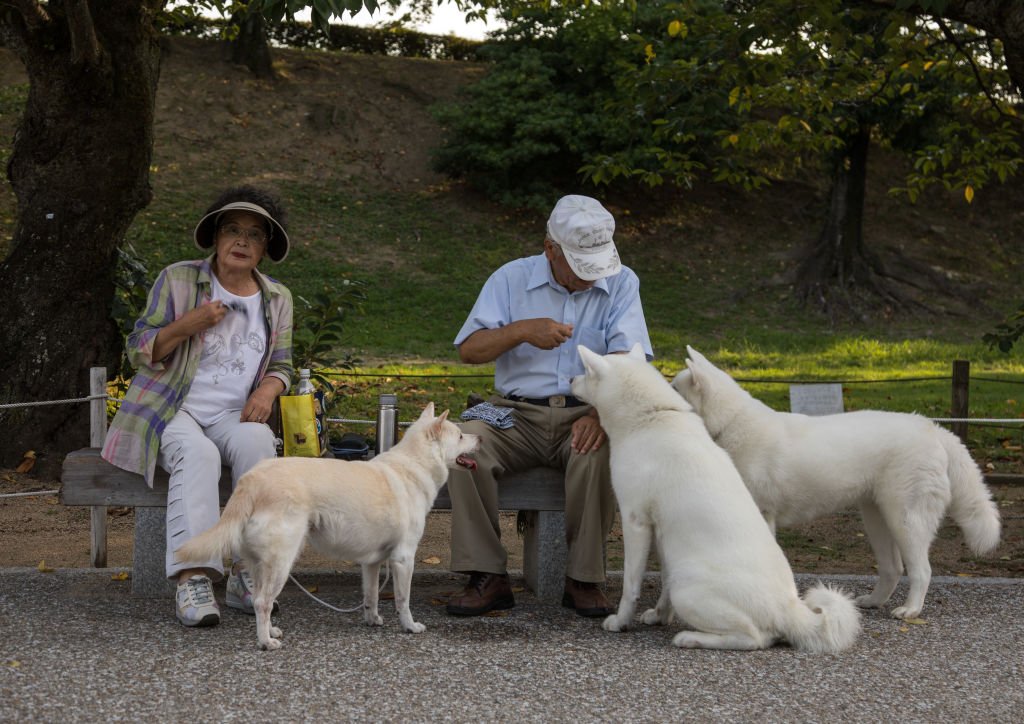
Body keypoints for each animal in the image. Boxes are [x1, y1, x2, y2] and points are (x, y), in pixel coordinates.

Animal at [177, 401, 479, 651]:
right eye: (460, 436)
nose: (479, 437)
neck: (414, 465)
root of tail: (250, 481)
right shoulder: (404, 559)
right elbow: (403, 600)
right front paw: (410, 626)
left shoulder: (372, 563)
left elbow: (371, 595)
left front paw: (373, 619)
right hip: (282, 561)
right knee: (263, 602)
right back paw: (266, 643)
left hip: (260, 564)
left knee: (261, 600)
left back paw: (271, 631)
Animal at [573, 342, 860, 655]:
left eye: (586, 371)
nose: (569, 379)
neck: (652, 418)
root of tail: (791, 610)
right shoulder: (663, 536)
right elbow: (662, 583)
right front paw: (659, 616)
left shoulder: (635, 522)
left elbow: (631, 585)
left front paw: (621, 622)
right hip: (682, 574)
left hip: (687, 588)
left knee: (754, 638)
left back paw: (690, 637)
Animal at [671, 348, 999, 618]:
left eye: (674, 389)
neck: (731, 422)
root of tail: (934, 429)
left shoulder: (761, 514)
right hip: (877, 518)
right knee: (893, 568)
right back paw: (873, 602)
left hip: (905, 520)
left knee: (922, 570)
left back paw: (910, 610)